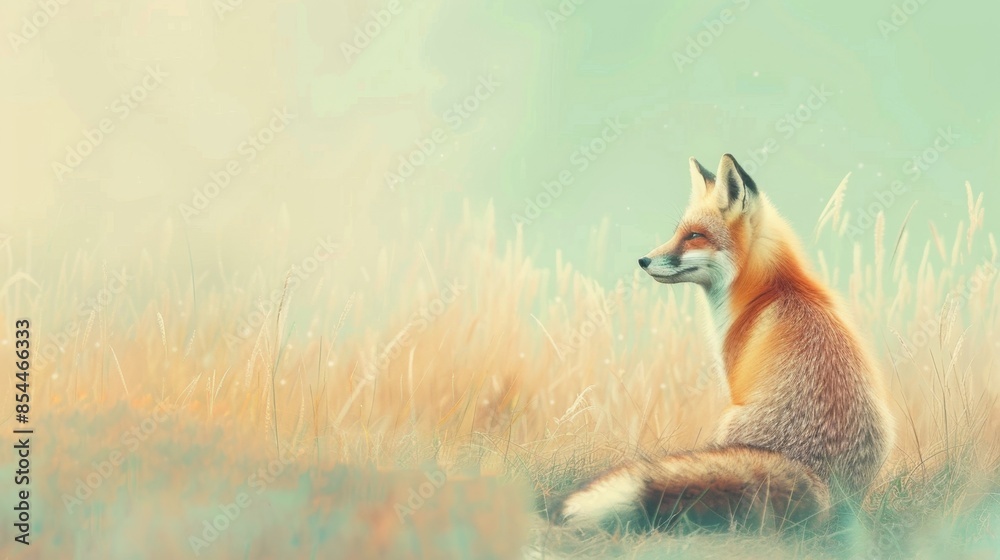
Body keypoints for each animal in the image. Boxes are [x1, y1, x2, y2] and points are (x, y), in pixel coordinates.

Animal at [555, 154, 895, 533]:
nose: (643, 261)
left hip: (728, 419)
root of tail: (817, 478)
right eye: (679, 233)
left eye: (694, 236)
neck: (770, 290)